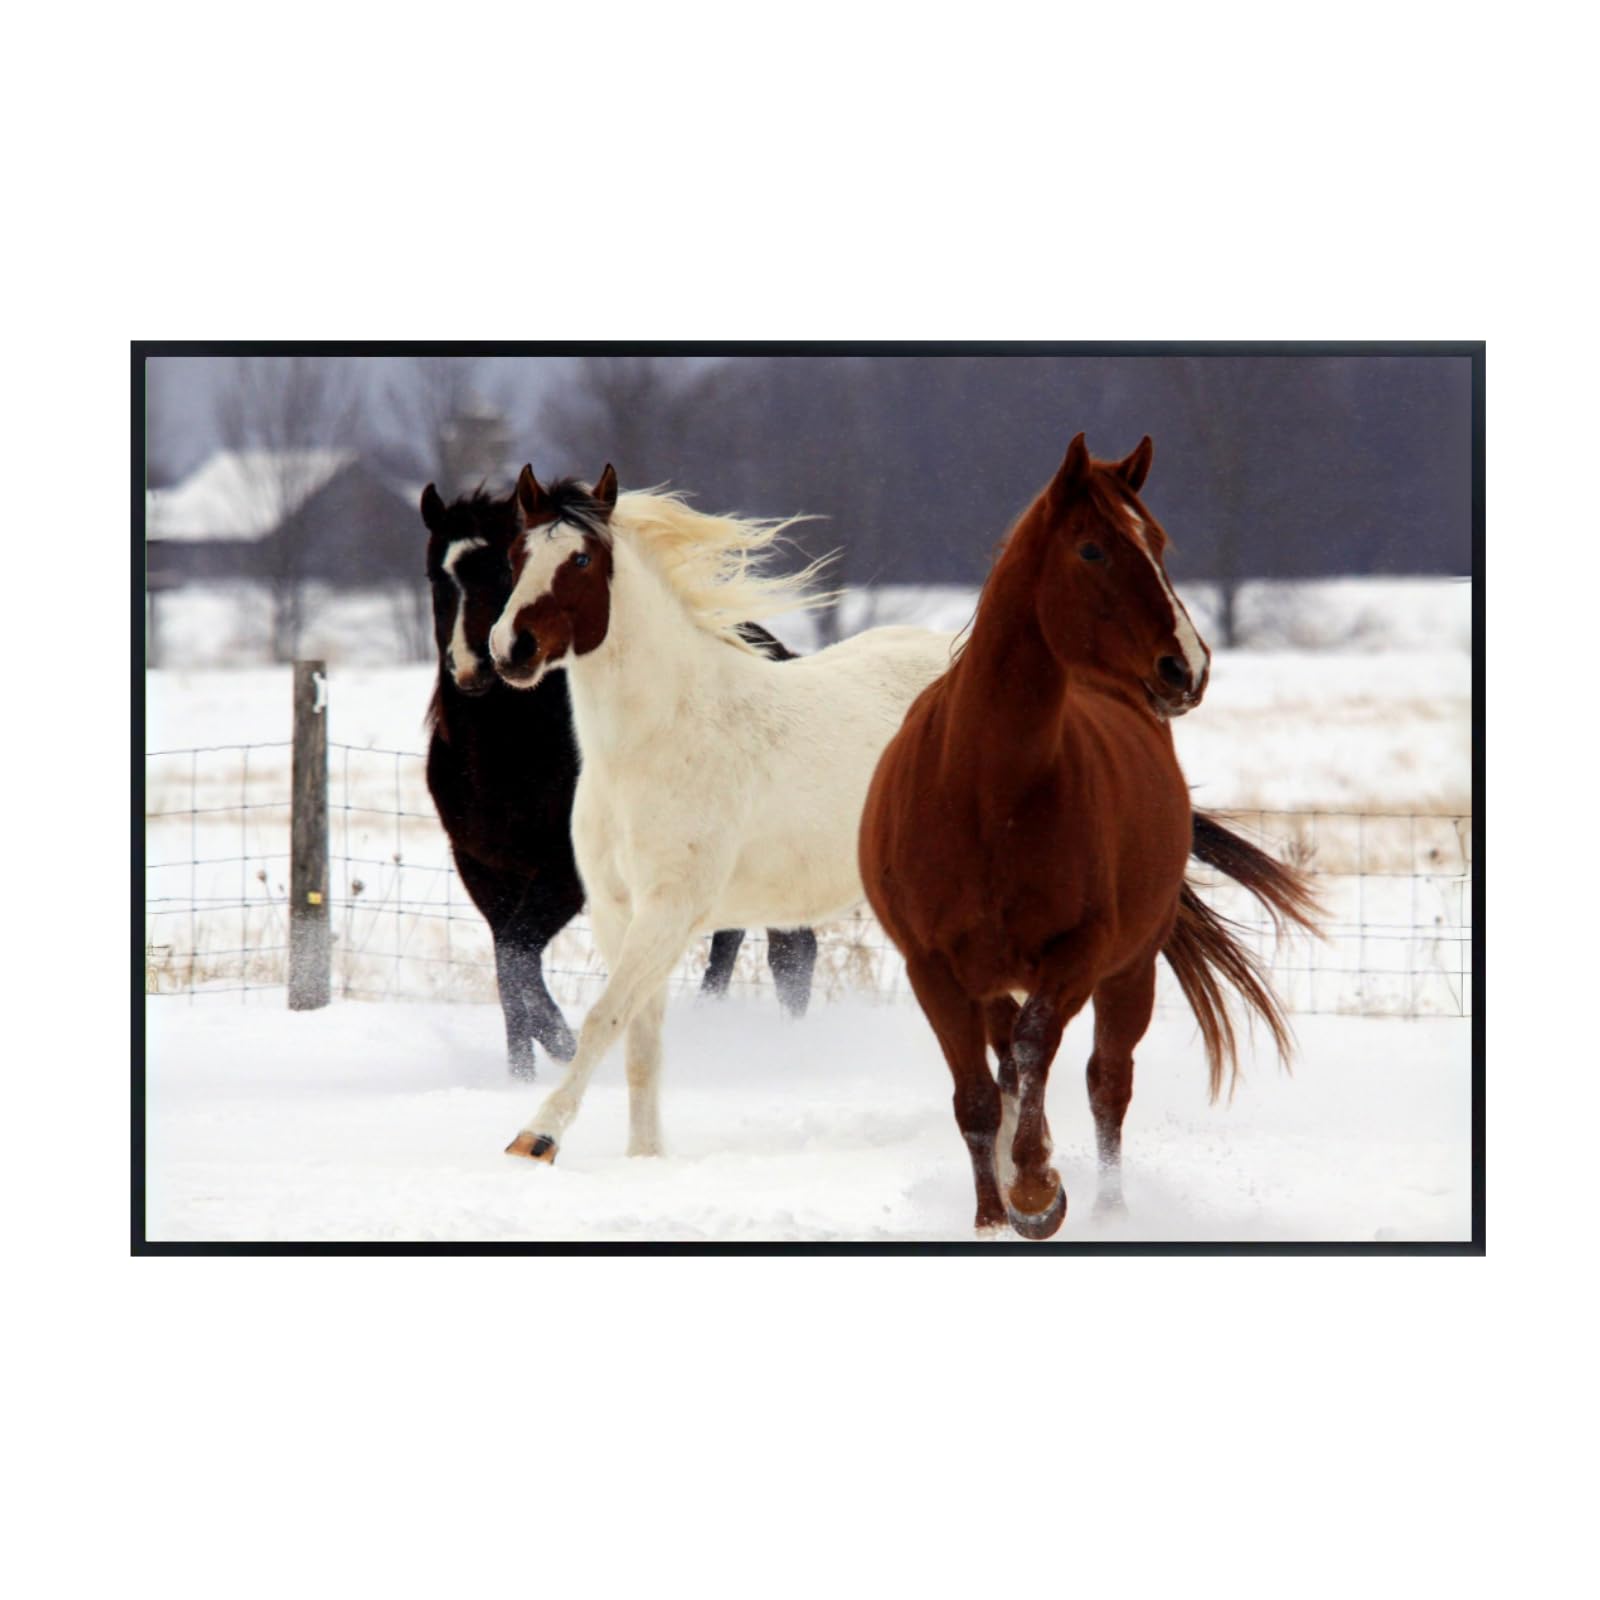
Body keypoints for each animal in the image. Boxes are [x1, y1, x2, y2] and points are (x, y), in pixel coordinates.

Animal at [419, 483, 819, 1080]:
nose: (476, 668)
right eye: (436, 578)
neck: (505, 760)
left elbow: (516, 956)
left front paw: (564, 1047)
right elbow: (508, 968)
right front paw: (522, 1073)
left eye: (500, 571)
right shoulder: (483, 870)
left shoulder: (563, 876)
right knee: (734, 942)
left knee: (791, 953)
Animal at [487, 465, 957, 1162]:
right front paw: (645, 1159)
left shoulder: (669, 910)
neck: (648, 746)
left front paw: (536, 1137)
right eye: (518, 555)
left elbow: (602, 1019)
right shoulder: (617, 911)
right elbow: (641, 1044)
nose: (510, 648)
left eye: (580, 558)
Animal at [858, 434, 1318, 1239]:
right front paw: (991, 1216)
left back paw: (1110, 1209)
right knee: (1006, 1064)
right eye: (1093, 549)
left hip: (1130, 971)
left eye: (1158, 543)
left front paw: (1037, 1191)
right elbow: (978, 1096)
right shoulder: (932, 967)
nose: (1187, 666)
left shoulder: (1078, 955)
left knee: (1106, 1081)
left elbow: (1039, 1049)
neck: (986, 793)